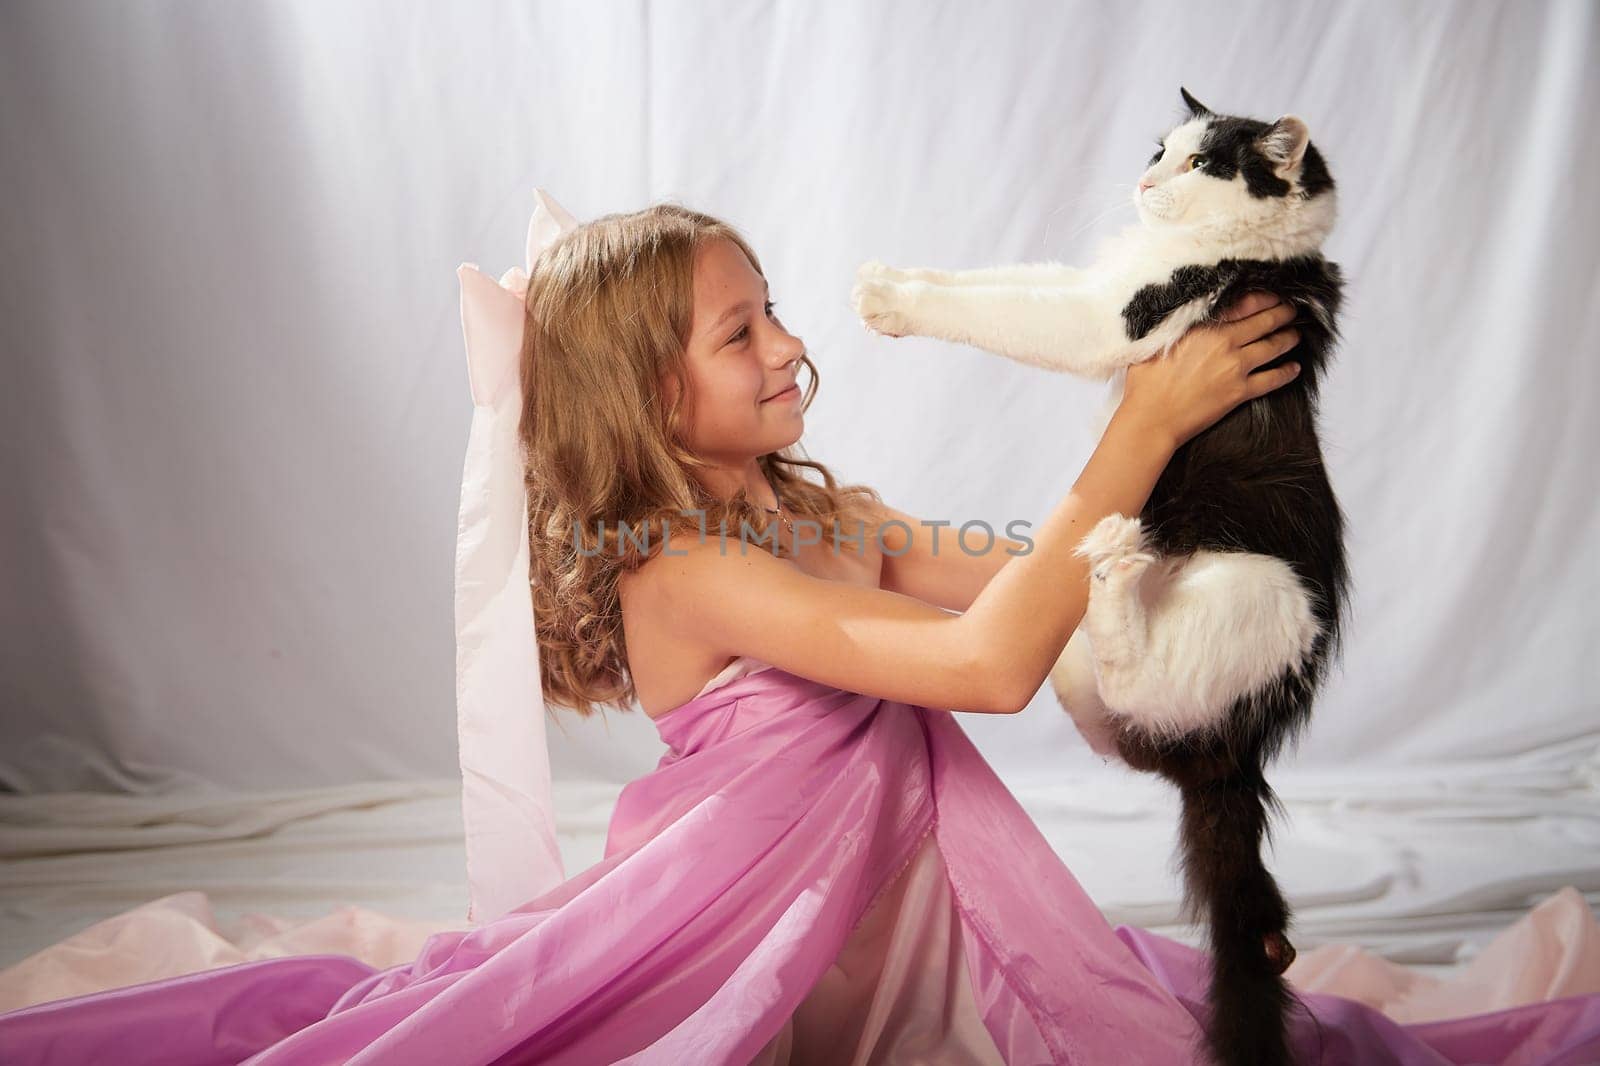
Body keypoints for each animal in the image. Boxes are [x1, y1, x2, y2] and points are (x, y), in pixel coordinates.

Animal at [851, 89, 1350, 1062]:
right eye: (1160, 151)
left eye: (1205, 163)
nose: (1147, 183)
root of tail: (1234, 755)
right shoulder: (1087, 281)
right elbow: (1000, 280)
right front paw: (898, 277)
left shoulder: (1115, 314)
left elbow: (1017, 314)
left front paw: (893, 296)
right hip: (1077, 672)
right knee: (1122, 711)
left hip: (1265, 590)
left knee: (1145, 674)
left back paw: (1117, 566)